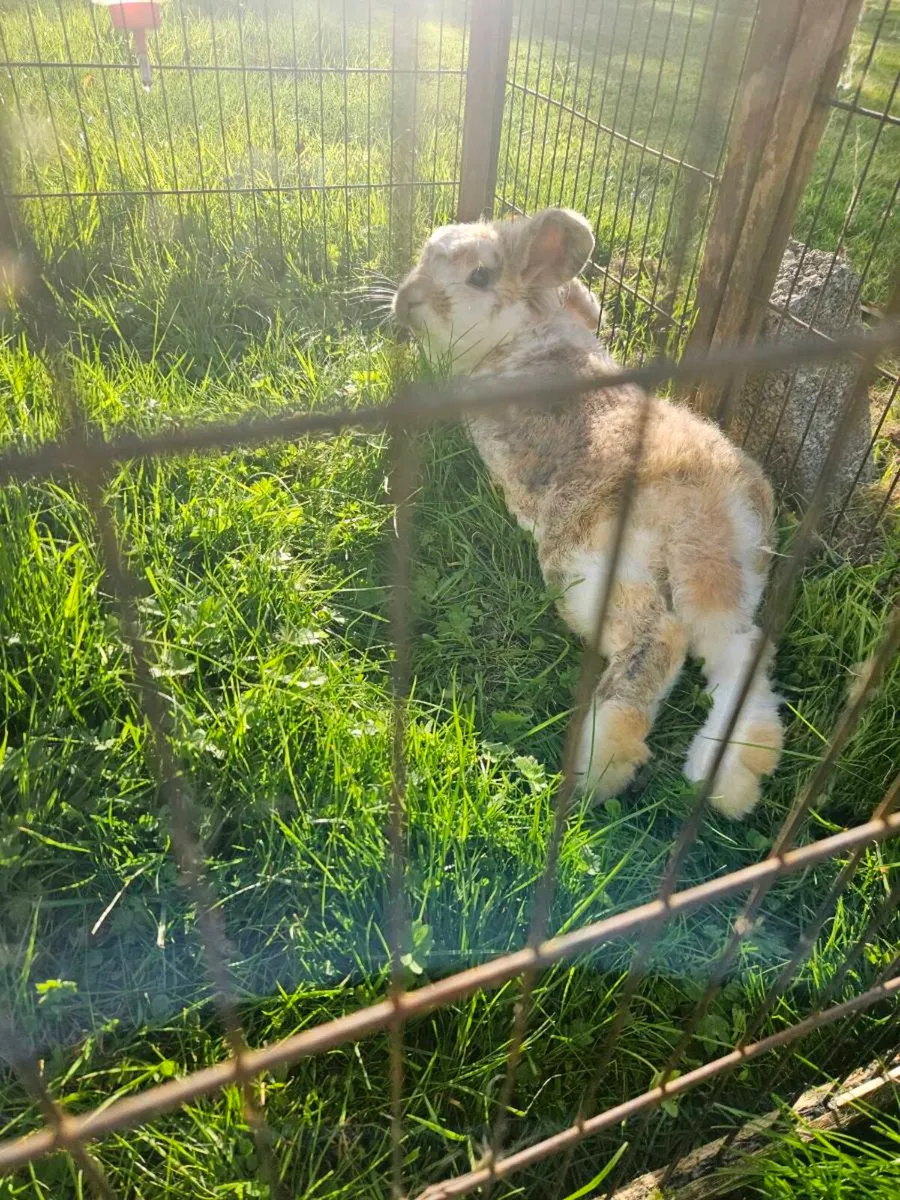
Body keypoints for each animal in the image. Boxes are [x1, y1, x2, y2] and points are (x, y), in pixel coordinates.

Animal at [392, 207, 783, 818]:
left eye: (478, 276)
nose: (405, 300)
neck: (525, 333)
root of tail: (706, 497)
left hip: (586, 564)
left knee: (661, 634)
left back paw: (601, 760)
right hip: (728, 576)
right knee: (739, 649)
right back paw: (733, 775)